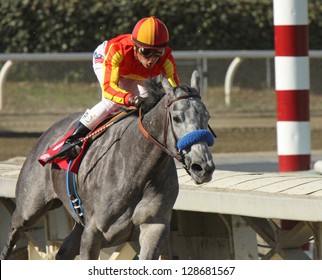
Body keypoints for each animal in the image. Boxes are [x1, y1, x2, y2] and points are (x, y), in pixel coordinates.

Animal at [1, 70, 216, 260]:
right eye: (177, 118)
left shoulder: (154, 226)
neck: (138, 171)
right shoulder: (93, 233)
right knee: (15, 228)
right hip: (29, 207)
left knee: (63, 252)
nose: (202, 167)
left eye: (207, 116)